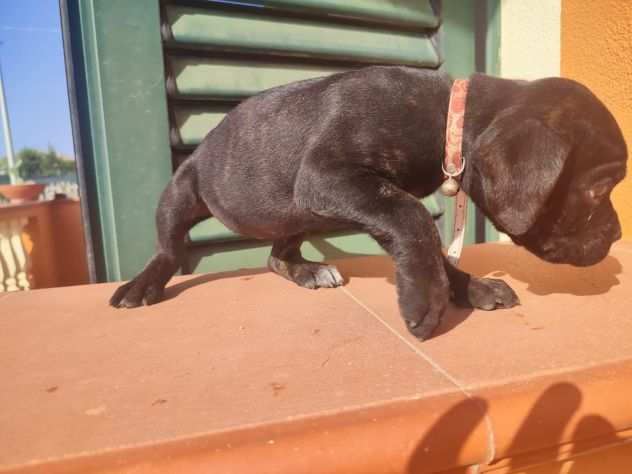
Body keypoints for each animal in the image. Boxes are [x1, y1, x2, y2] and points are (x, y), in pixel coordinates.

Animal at [110, 67, 628, 340]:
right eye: (599, 190)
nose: (618, 233)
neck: (447, 118)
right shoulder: (332, 178)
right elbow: (417, 221)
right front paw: (427, 301)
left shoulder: (369, 200)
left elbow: (427, 245)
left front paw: (467, 286)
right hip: (184, 189)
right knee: (170, 246)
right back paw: (144, 283)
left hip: (299, 214)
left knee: (278, 254)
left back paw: (306, 270)